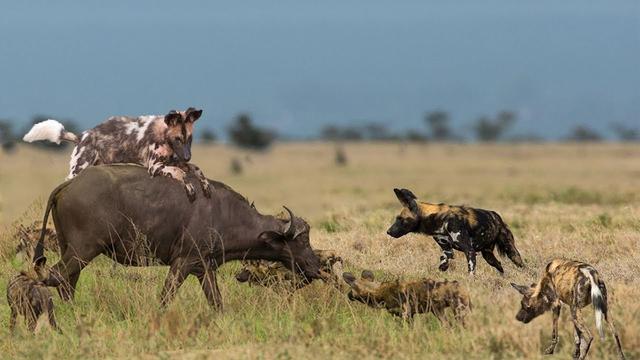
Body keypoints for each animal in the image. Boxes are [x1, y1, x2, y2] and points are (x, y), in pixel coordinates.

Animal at [23, 107, 209, 200]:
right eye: (177, 139)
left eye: (189, 139)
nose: (187, 156)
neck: (163, 135)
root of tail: (81, 137)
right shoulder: (155, 166)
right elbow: (181, 173)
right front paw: (190, 188)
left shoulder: (171, 161)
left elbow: (196, 168)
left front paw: (205, 186)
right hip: (78, 170)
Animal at [33, 165, 322, 308]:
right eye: (301, 240)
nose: (316, 267)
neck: (225, 214)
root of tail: (70, 183)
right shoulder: (182, 262)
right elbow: (165, 298)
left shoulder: (204, 267)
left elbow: (217, 302)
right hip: (83, 249)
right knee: (56, 277)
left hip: (69, 248)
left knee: (67, 283)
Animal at [342, 270, 472, 324]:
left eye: (351, 290)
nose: (348, 295)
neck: (378, 291)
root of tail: (464, 288)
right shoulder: (410, 315)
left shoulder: (405, 314)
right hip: (438, 312)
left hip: (459, 312)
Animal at [388, 187, 524, 274]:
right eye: (397, 218)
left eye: (400, 219)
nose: (388, 232)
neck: (439, 219)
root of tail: (496, 216)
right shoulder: (447, 249)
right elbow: (444, 258)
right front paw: (443, 267)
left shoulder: (469, 251)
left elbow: (471, 272)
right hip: (488, 255)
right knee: (499, 265)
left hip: (511, 252)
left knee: (521, 265)